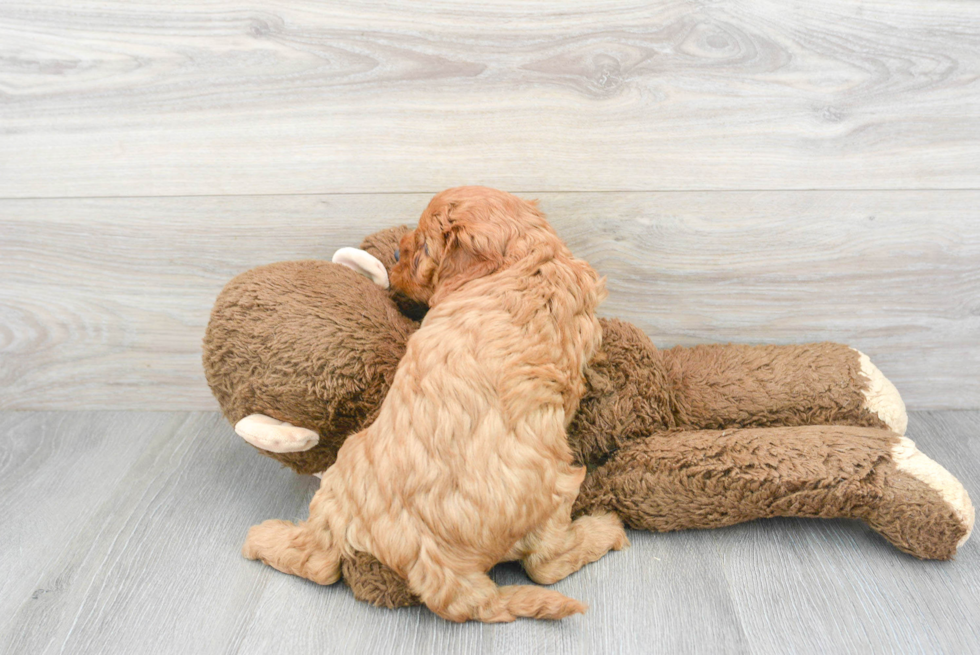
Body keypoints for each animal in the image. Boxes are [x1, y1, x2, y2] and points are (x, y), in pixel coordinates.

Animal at [240, 187, 624, 624]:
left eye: (422, 247)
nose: (395, 252)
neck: (521, 262)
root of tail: (440, 569)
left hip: (346, 474)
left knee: (319, 562)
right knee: (546, 564)